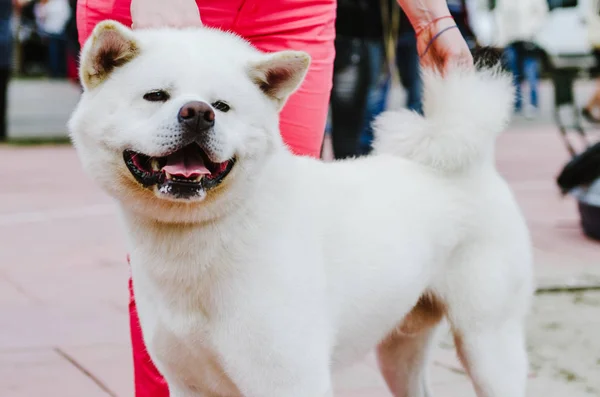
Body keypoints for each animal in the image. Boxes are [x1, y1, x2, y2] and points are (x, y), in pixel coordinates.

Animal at [69, 20, 536, 396]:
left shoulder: (288, 378)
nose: (198, 112)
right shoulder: (188, 381)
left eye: (222, 106)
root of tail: (472, 163)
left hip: (488, 343)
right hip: (400, 347)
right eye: (154, 96)